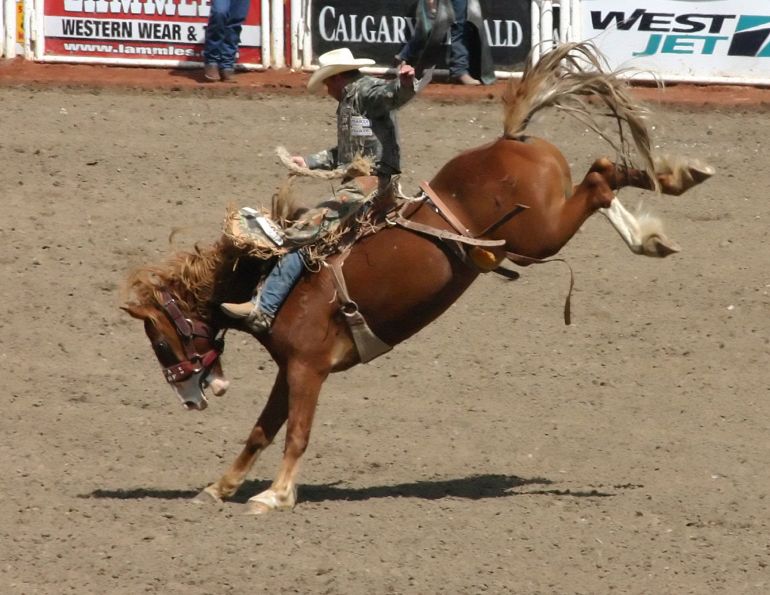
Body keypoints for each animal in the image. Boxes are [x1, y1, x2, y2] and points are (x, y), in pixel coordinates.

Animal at [123, 43, 712, 514]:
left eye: (160, 341)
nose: (192, 399)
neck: (269, 272)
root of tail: (512, 140)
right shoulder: (290, 370)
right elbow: (260, 432)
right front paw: (219, 487)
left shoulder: (308, 368)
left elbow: (296, 433)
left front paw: (275, 495)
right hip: (539, 231)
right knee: (610, 172)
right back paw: (673, 189)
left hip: (539, 233)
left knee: (600, 181)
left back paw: (659, 210)